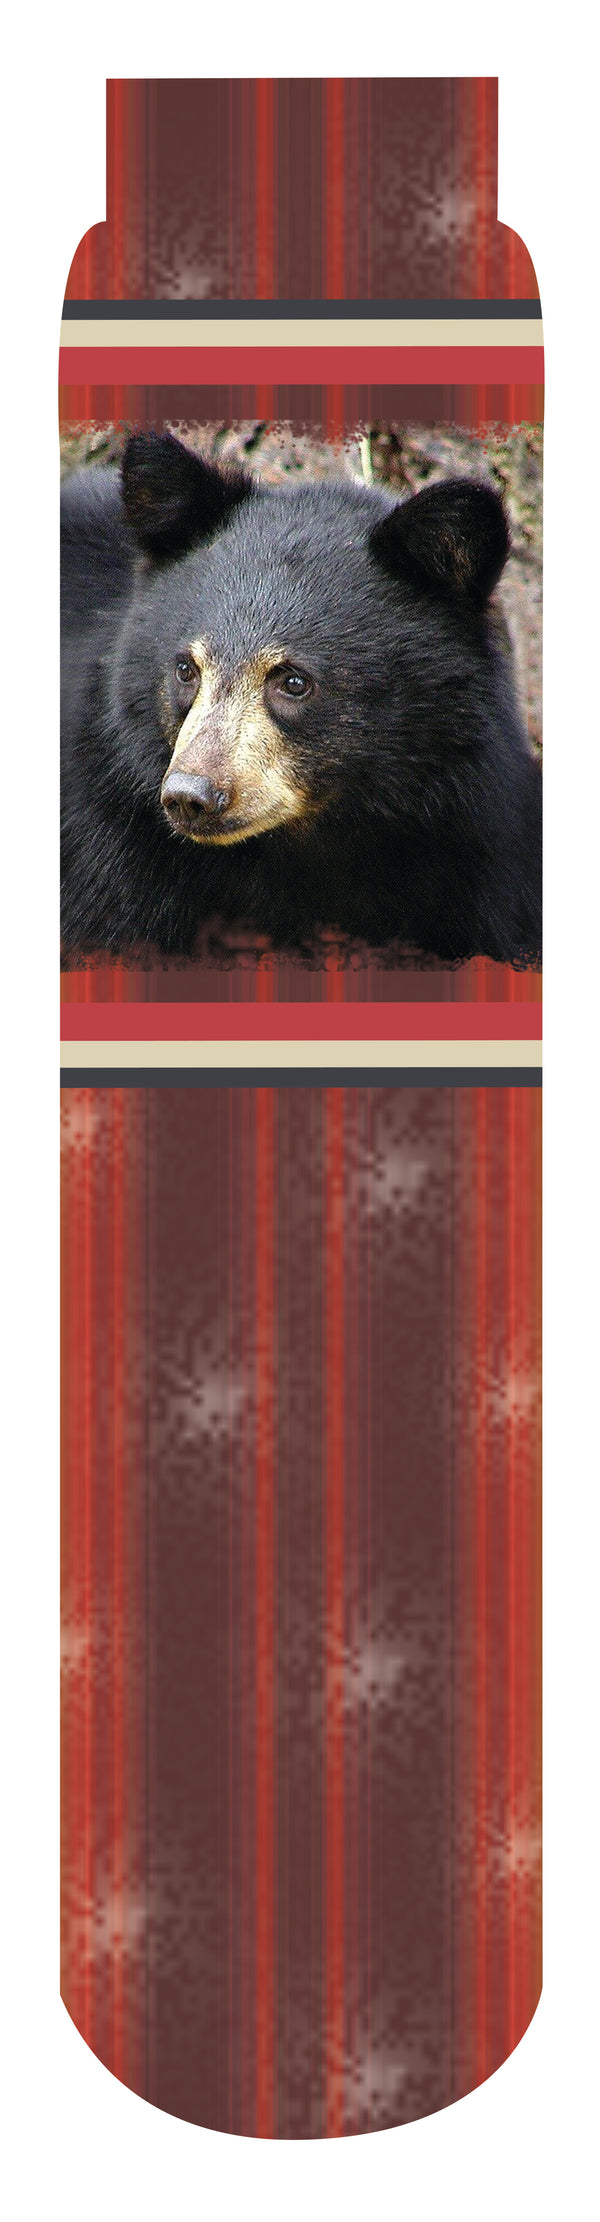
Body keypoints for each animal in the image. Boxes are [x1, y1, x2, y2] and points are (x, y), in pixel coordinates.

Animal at [61, 430, 541, 964]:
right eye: (186, 669)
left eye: (293, 681)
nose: (190, 796)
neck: (309, 842)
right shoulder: (112, 850)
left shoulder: (476, 856)